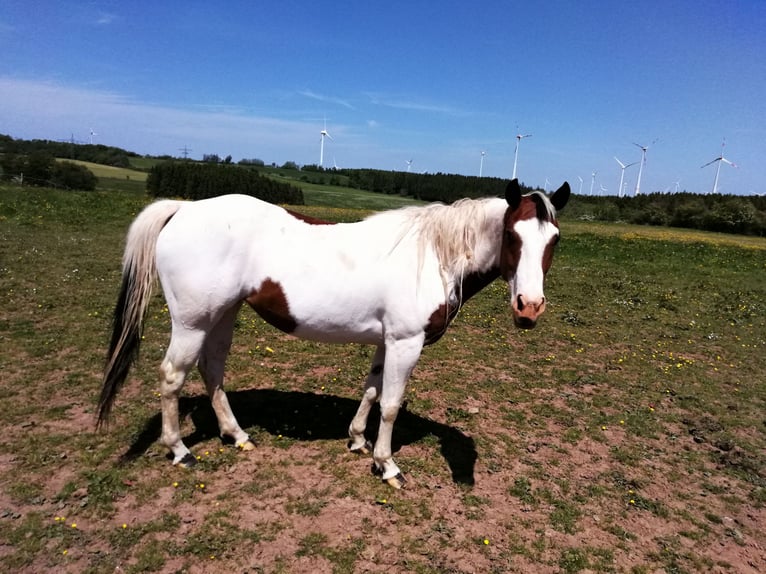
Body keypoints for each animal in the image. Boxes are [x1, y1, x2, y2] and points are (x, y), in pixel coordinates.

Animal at [98, 178, 570, 488]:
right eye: (511, 234)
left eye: (555, 240)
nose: (529, 307)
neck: (433, 256)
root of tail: (183, 208)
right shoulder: (406, 342)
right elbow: (392, 405)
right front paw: (387, 466)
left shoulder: (386, 342)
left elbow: (372, 392)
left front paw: (358, 440)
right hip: (193, 321)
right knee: (172, 376)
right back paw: (179, 451)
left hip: (223, 314)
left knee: (212, 369)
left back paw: (237, 435)